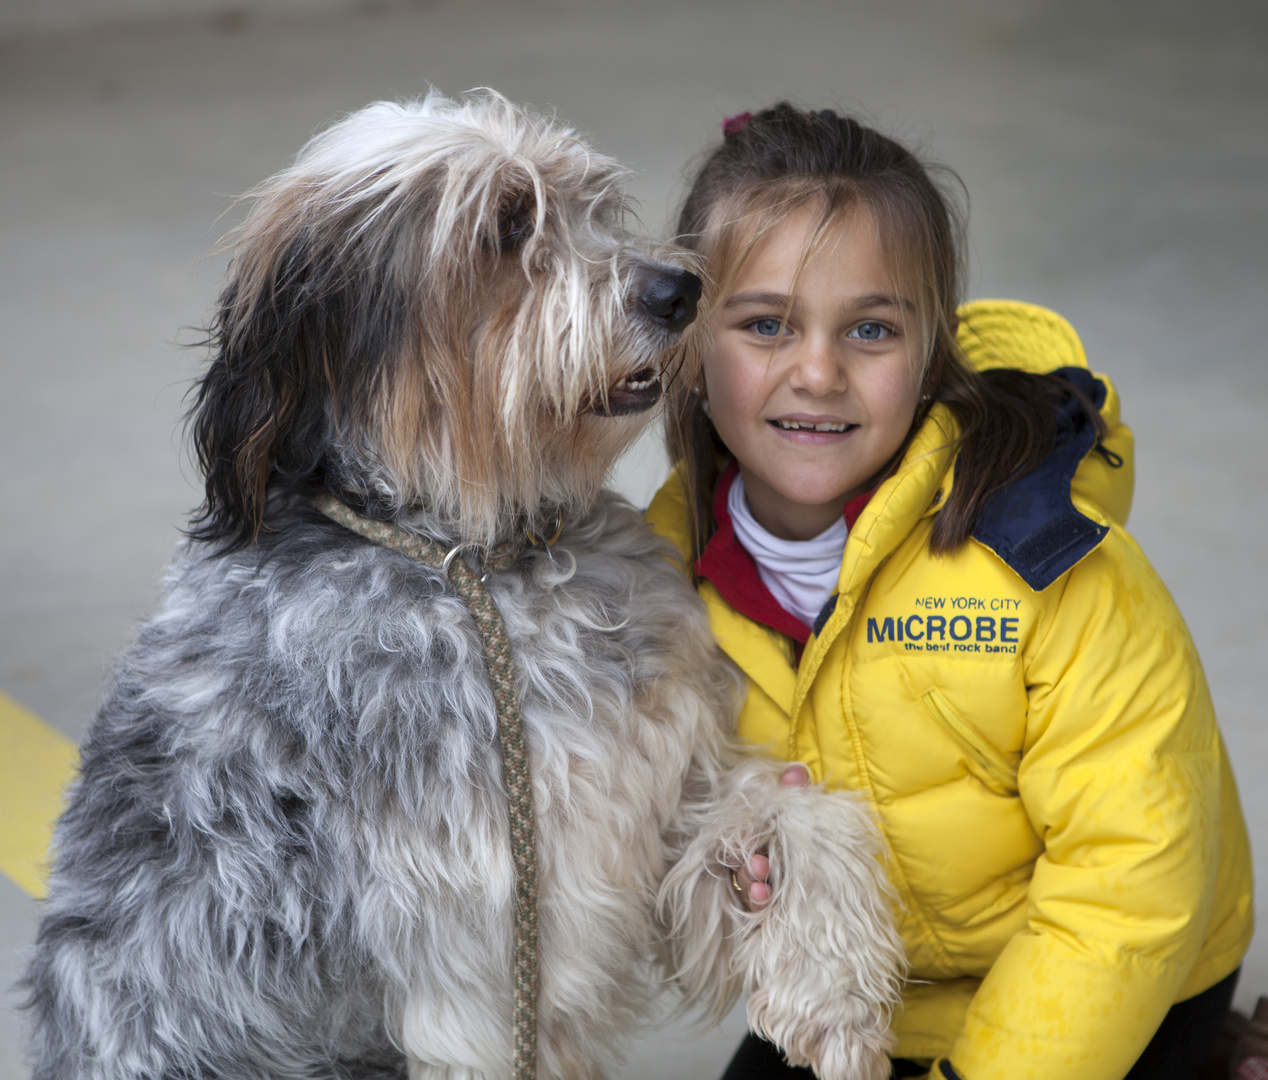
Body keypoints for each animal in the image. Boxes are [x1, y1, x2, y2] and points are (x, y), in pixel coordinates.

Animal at [27, 90, 902, 1080]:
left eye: (592, 203)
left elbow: (791, 817)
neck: (480, 559)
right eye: (507, 226)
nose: (679, 292)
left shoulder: (663, 785)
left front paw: (836, 994)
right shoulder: (491, 939)